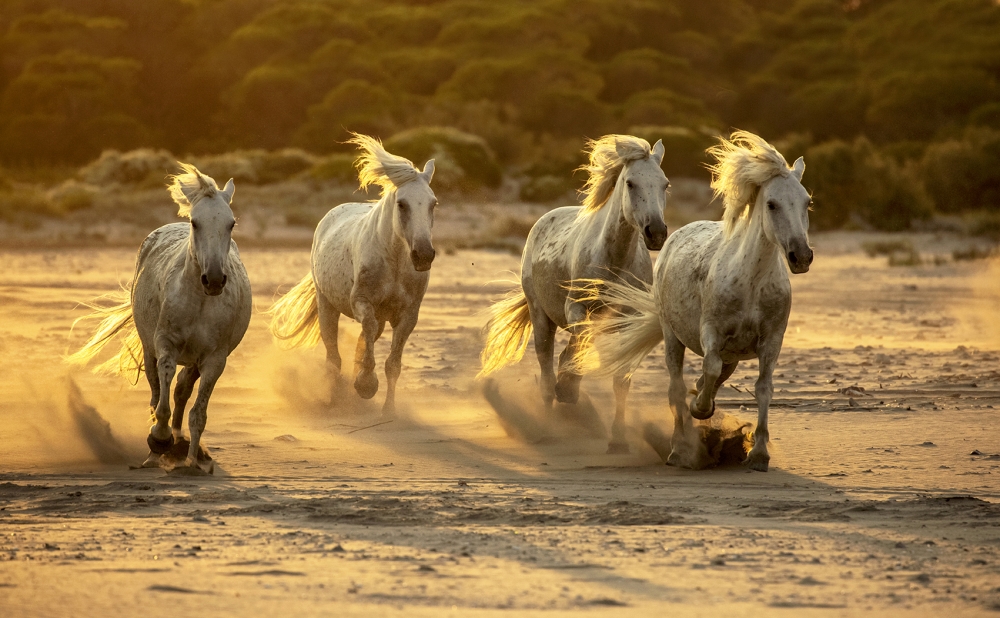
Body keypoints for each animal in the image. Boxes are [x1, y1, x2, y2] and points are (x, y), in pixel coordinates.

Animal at [68, 164, 250, 472]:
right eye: (195, 222)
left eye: (231, 224)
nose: (214, 279)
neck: (198, 300)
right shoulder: (165, 345)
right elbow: (162, 398)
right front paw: (159, 439)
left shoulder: (214, 359)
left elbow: (197, 413)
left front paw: (192, 462)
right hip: (148, 346)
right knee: (156, 393)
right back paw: (155, 453)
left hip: (195, 362)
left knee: (182, 392)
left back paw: (183, 446)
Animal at [268, 134, 436, 414]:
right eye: (402, 204)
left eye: (433, 204)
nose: (423, 255)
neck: (394, 262)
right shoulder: (361, 303)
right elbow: (366, 331)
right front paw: (365, 384)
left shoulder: (409, 314)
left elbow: (393, 363)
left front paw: (388, 408)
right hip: (327, 307)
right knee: (333, 357)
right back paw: (333, 399)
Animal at [478, 136, 668, 452]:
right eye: (630, 183)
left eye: (665, 183)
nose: (657, 232)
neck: (613, 260)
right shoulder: (576, 310)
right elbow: (579, 345)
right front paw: (567, 389)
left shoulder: (627, 322)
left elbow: (620, 381)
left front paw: (618, 440)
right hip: (541, 318)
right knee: (546, 373)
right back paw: (548, 428)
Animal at [576, 129, 808, 466]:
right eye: (772, 204)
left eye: (807, 202)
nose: (802, 256)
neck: (751, 282)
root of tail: (675, 234)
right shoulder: (711, 332)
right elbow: (708, 370)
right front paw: (700, 409)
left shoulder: (771, 341)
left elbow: (763, 388)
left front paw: (759, 453)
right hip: (672, 338)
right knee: (676, 388)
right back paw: (679, 449)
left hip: (732, 355)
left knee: (713, 378)